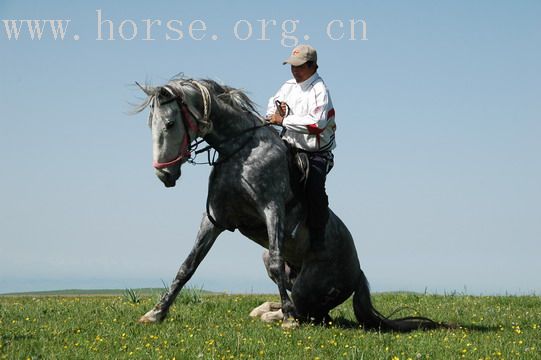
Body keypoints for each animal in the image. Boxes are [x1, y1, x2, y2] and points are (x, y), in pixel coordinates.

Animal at [134, 77, 438, 330]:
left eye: (170, 124)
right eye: (152, 124)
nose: (164, 174)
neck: (242, 150)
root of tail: (358, 273)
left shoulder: (272, 209)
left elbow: (278, 260)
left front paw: (289, 321)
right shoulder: (214, 220)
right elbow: (188, 265)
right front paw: (155, 313)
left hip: (308, 286)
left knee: (309, 312)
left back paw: (281, 314)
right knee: (314, 312)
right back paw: (266, 309)